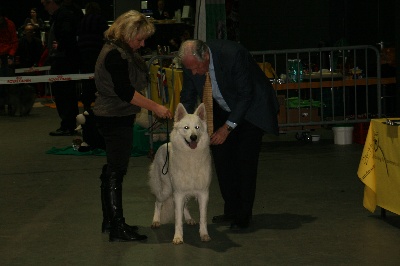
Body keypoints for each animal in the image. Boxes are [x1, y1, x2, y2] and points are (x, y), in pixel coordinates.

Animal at [148, 103, 212, 244]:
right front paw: (178, 237)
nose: (193, 137)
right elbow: (177, 219)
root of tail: (163, 145)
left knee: (185, 206)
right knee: (157, 202)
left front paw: (204, 234)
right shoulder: (178, 193)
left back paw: (189, 219)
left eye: (197, 127)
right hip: (166, 190)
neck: (191, 156)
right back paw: (156, 220)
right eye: (186, 128)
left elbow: (203, 217)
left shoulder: (203, 193)